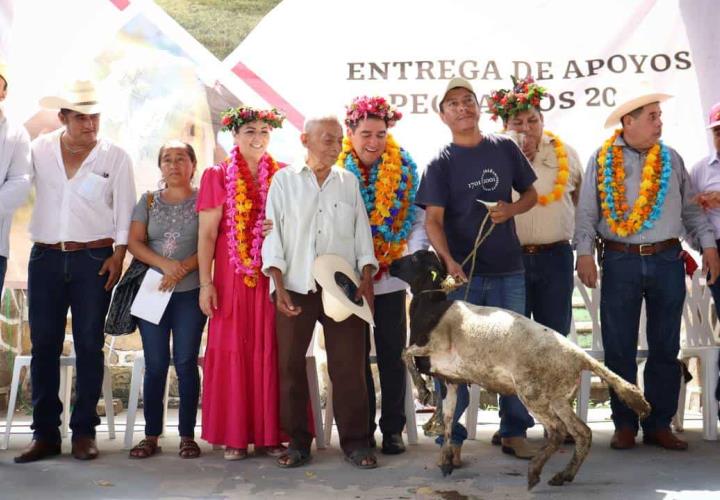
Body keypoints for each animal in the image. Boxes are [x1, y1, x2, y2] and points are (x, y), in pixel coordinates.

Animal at [390, 250, 648, 488]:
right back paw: (563, 475)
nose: (391, 264)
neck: (431, 306)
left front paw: (424, 391)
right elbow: (448, 420)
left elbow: (404, 353)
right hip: (557, 397)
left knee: (557, 431)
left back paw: (535, 472)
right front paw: (445, 461)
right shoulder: (452, 380)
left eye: (414, 259)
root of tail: (580, 355)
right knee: (582, 433)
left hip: (532, 393)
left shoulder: (434, 346)